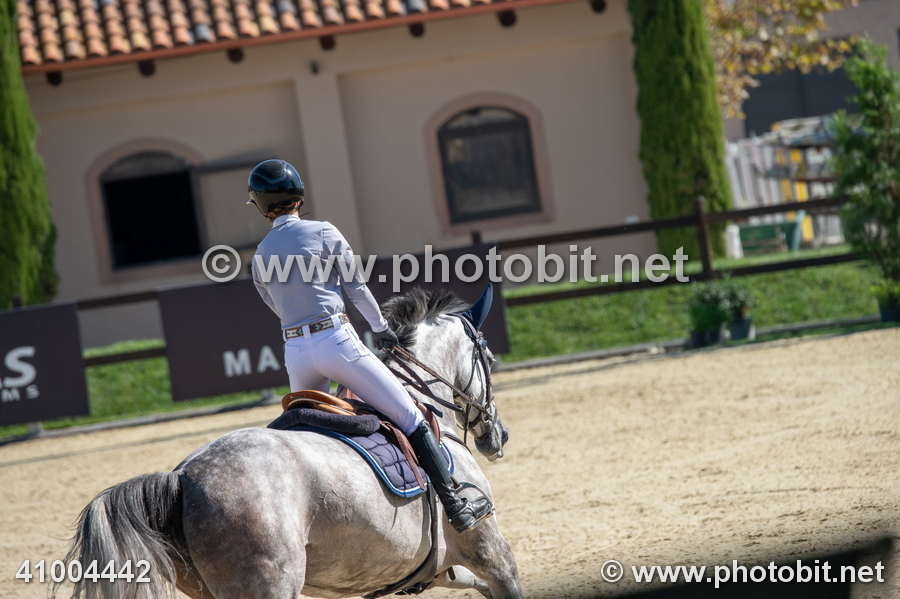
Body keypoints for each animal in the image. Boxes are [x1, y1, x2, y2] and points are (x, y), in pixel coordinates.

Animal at [59, 286, 520, 599]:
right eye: (491, 359)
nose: (499, 436)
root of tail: (183, 478)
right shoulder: (491, 553)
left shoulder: (442, 567)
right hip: (269, 581)